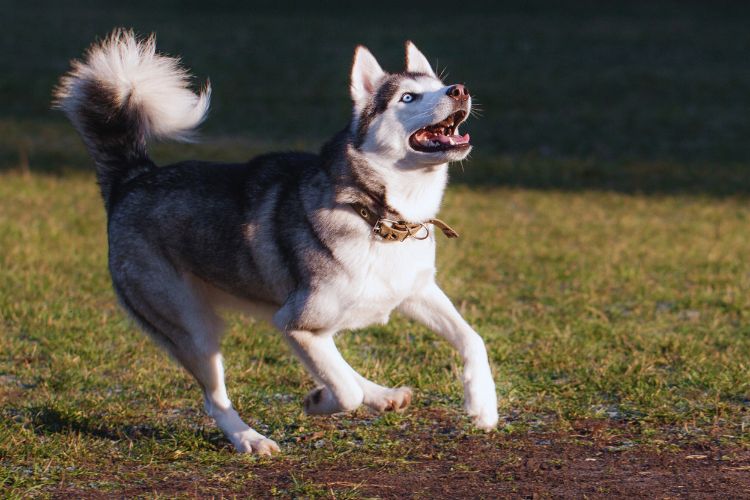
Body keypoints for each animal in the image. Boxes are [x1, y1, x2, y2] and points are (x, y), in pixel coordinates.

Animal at [54, 29, 500, 456]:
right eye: (409, 97)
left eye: (439, 85)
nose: (459, 90)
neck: (379, 216)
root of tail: (133, 179)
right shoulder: (294, 323)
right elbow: (346, 392)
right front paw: (319, 402)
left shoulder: (415, 292)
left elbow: (472, 340)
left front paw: (483, 406)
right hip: (193, 330)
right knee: (216, 399)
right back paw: (250, 439)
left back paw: (383, 395)